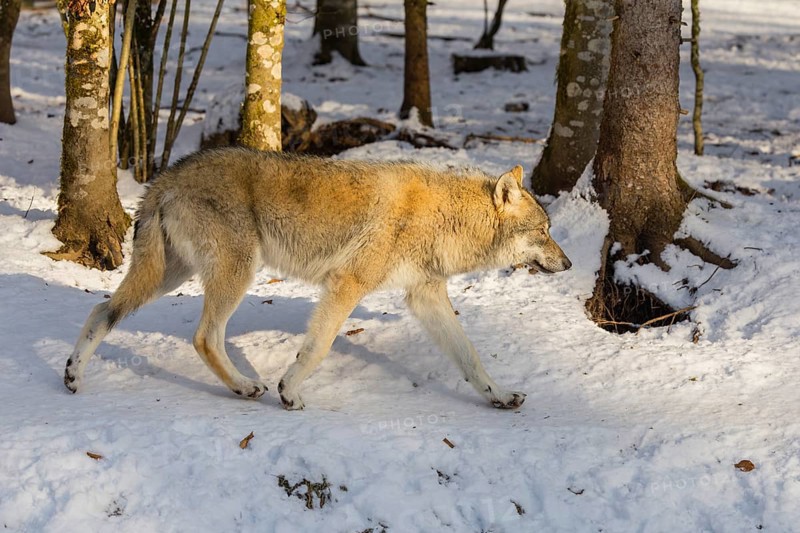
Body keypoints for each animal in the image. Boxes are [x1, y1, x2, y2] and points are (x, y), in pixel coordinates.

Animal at [64, 147, 572, 410]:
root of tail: (164, 177)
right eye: (545, 232)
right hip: (235, 273)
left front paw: (499, 396)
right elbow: (317, 347)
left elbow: (471, 360)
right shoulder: (347, 284)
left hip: (171, 275)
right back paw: (246, 387)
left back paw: (72, 375)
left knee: (101, 309)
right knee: (204, 337)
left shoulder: (424, 297)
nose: (568, 265)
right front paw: (289, 391)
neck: (446, 219)